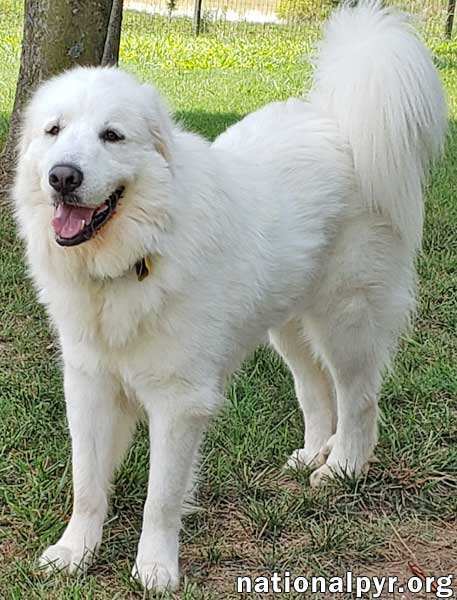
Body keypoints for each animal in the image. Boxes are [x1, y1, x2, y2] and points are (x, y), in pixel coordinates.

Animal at [13, 0, 446, 592]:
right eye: (53, 131)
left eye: (112, 136)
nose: (62, 176)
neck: (139, 252)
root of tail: (338, 122)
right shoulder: (89, 385)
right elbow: (87, 483)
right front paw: (74, 553)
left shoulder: (178, 401)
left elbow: (160, 499)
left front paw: (154, 569)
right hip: (287, 326)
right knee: (316, 392)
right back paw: (313, 454)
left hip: (347, 319)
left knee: (359, 400)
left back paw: (341, 469)